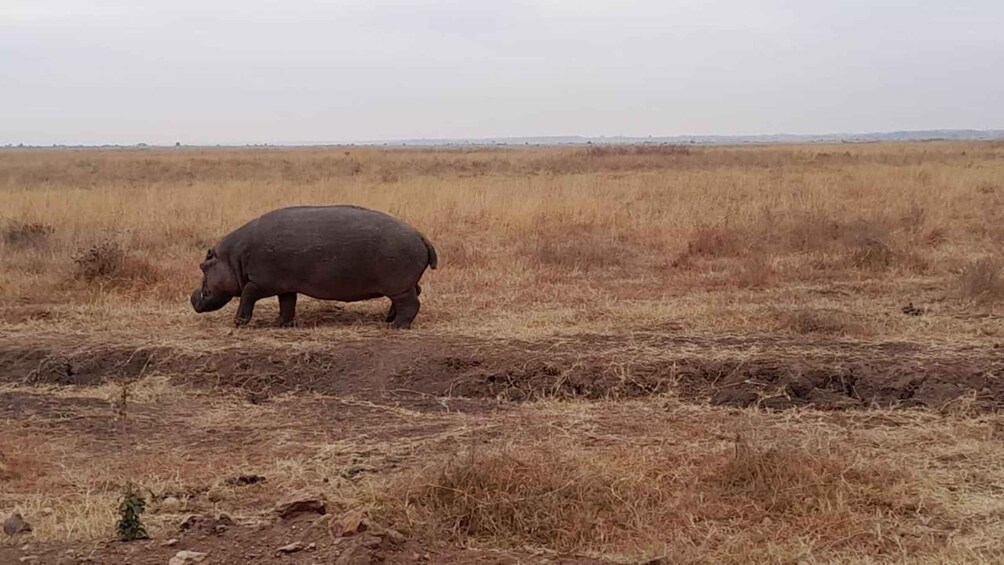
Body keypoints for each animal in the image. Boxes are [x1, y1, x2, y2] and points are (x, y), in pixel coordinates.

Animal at [190, 205, 437, 328]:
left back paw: (394, 327)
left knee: (411, 304)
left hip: (398, 286)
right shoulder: (285, 285)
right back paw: (388, 319)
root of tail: (420, 235)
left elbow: (247, 295)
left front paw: (238, 323)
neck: (233, 257)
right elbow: (287, 304)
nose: (193, 299)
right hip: (402, 285)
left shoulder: (262, 283)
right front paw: (279, 324)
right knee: (412, 296)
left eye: (202, 265)